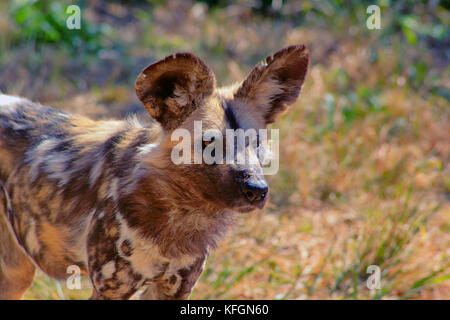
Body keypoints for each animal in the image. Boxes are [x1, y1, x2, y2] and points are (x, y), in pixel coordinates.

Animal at [0, 45, 308, 300]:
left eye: (256, 143)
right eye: (208, 143)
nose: (256, 190)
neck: (179, 214)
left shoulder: (174, 288)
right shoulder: (111, 289)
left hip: (15, 275)